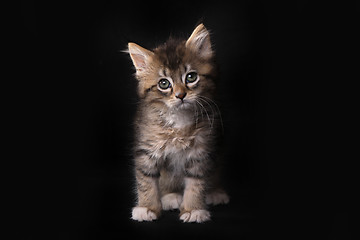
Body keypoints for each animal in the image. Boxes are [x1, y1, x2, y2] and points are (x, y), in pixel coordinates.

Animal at [126, 23, 229, 222]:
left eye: (191, 77)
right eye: (164, 84)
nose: (181, 95)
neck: (180, 121)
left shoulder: (202, 150)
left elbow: (196, 184)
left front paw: (193, 210)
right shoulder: (146, 149)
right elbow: (146, 180)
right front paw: (147, 208)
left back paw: (215, 193)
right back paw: (171, 196)